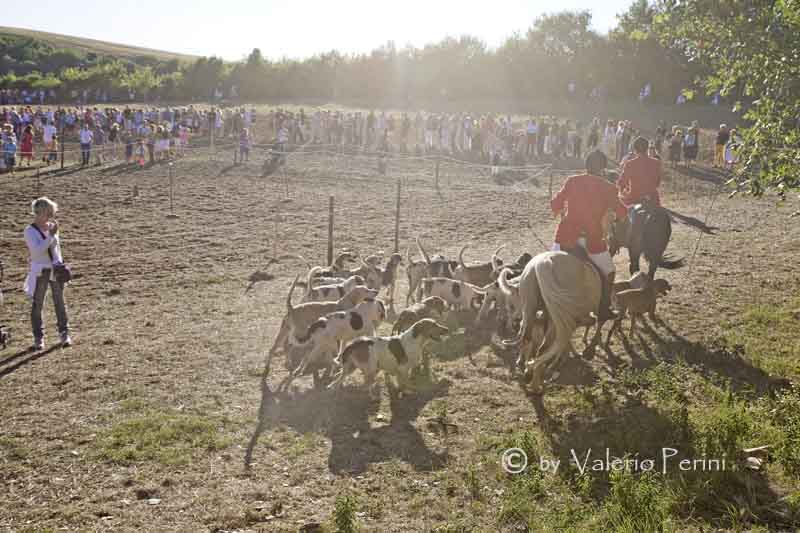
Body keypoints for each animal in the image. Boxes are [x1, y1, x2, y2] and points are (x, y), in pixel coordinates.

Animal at [504, 250, 604, 394]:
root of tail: (543, 263)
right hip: (555, 317)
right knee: (543, 349)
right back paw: (536, 384)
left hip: (532, 310)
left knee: (528, 339)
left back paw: (529, 372)